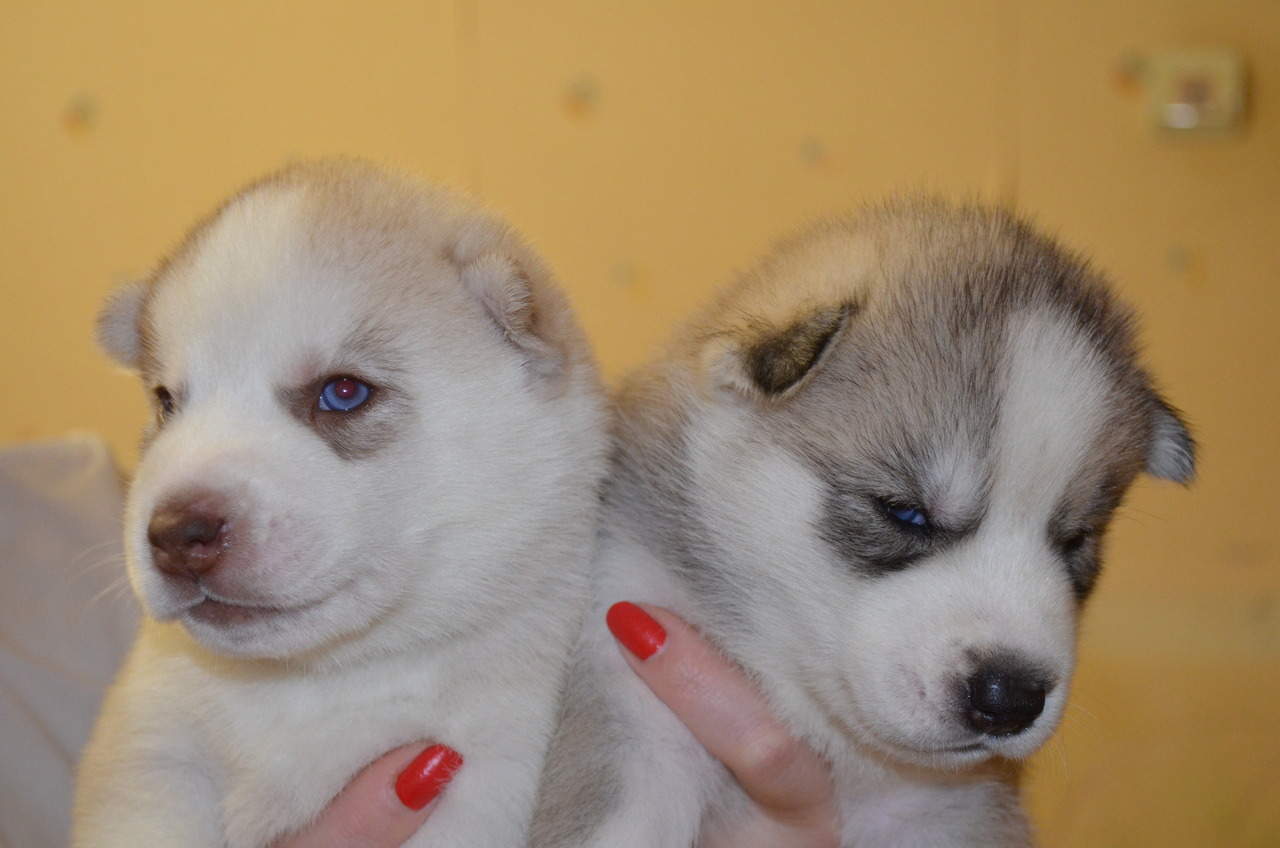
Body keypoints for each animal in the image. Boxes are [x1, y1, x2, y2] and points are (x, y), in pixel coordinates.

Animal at [73, 160, 607, 847]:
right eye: (166, 402)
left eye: (344, 393)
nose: (174, 533)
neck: (315, 681)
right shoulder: (151, 757)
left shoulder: (486, 779)